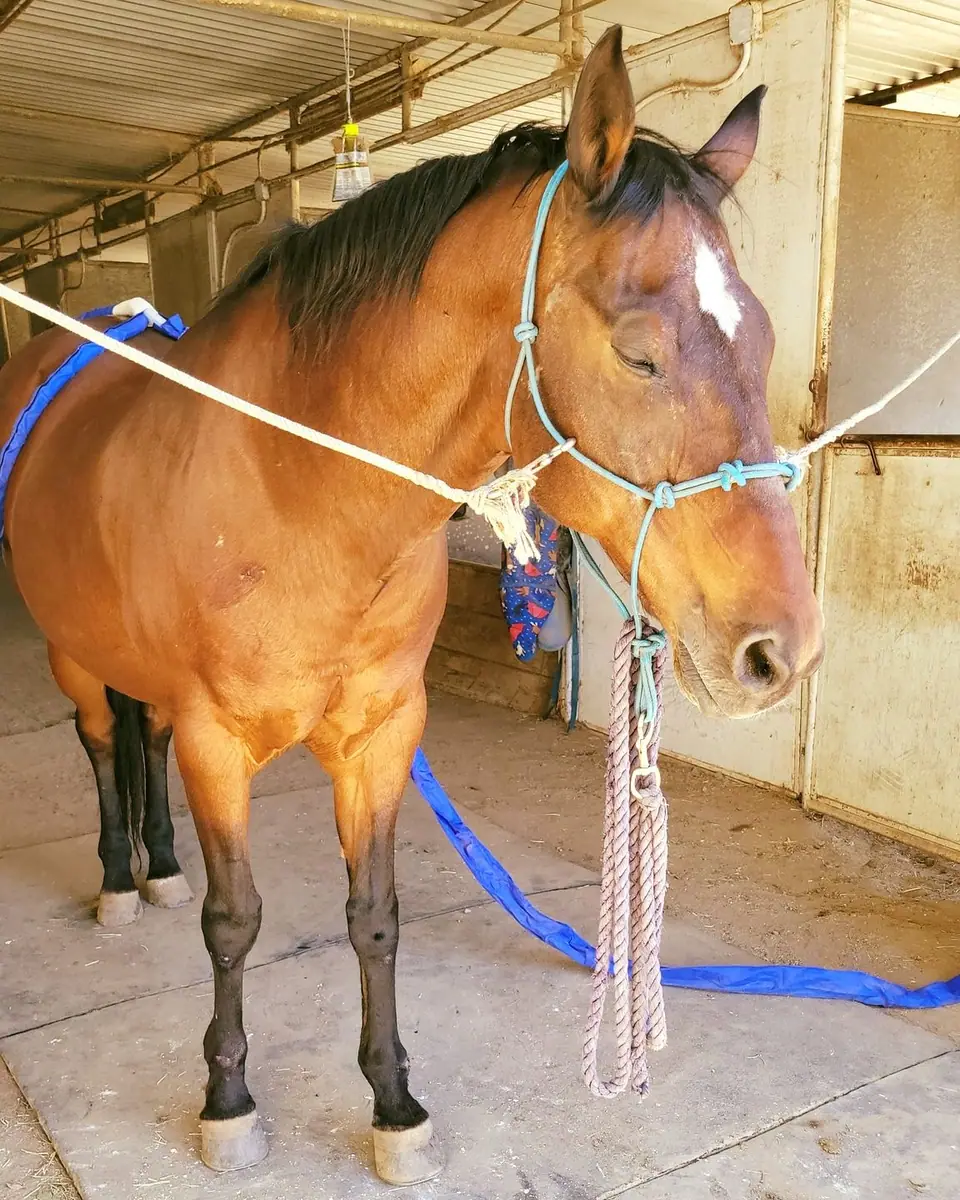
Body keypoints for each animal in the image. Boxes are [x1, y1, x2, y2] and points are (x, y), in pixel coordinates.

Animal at [0, 27, 823, 1186]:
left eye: (761, 341)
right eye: (639, 350)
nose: (780, 650)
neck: (295, 492)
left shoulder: (383, 733)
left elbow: (376, 918)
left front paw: (393, 1104)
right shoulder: (218, 742)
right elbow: (234, 921)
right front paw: (228, 1101)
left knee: (137, 738)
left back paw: (156, 864)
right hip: (74, 657)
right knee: (98, 740)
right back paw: (123, 878)